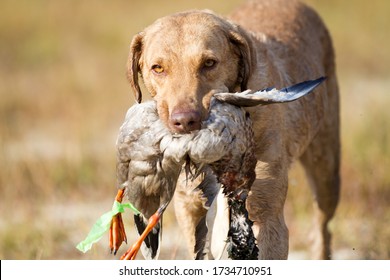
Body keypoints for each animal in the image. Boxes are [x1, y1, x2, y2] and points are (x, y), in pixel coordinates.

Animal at [127, 0, 338, 260]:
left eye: (209, 63)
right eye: (157, 68)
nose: (184, 121)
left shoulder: (267, 216)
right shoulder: (189, 208)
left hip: (326, 171)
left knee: (322, 227)